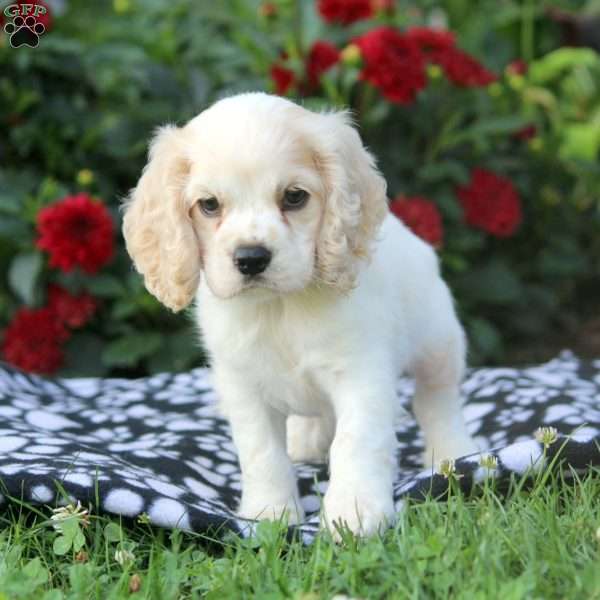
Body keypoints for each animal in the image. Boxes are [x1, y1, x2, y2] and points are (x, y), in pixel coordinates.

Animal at [123, 91, 478, 536]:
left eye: (294, 197)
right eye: (208, 205)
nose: (251, 258)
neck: (280, 307)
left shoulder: (362, 375)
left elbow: (355, 441)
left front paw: (353, 513)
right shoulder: (243, 386)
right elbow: (262, 453)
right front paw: (269, 513)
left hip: (438, 343)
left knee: (437, 401)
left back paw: (454, 454)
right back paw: (304, 442)